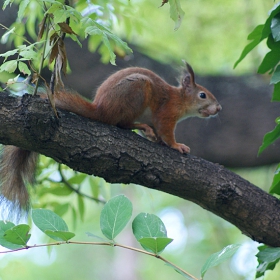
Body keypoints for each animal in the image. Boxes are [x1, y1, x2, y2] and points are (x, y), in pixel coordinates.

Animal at [1, 63, 222, 214]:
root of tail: (100, 109)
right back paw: (140, 126)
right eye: (203, 95)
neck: (180, 100)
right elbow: (166, 132)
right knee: (120, 123)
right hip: (137, 90)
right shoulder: (166, 113)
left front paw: (159, 140)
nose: (219, 108)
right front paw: (177, 146)